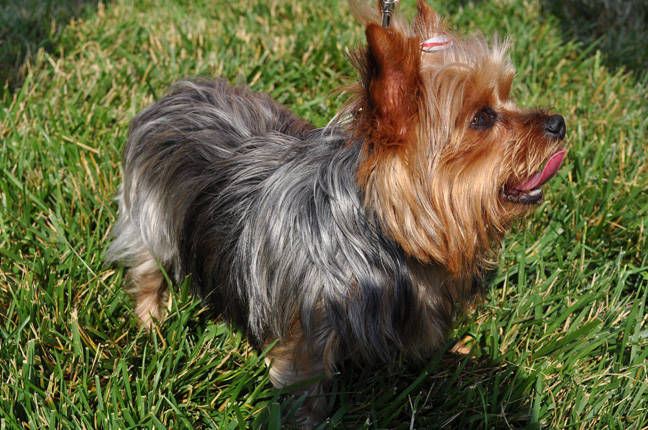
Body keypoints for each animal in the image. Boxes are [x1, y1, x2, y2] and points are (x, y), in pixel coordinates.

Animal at [105, 0, 560, 426]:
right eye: (482, 118)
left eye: (507, 95)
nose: (558, 122)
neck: (384, 233)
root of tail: (180, 90)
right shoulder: (308, 333)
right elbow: (305, 389)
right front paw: (310, 420)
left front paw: (457, 356)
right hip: (150, 215)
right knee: (147, 269)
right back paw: (152, 324)